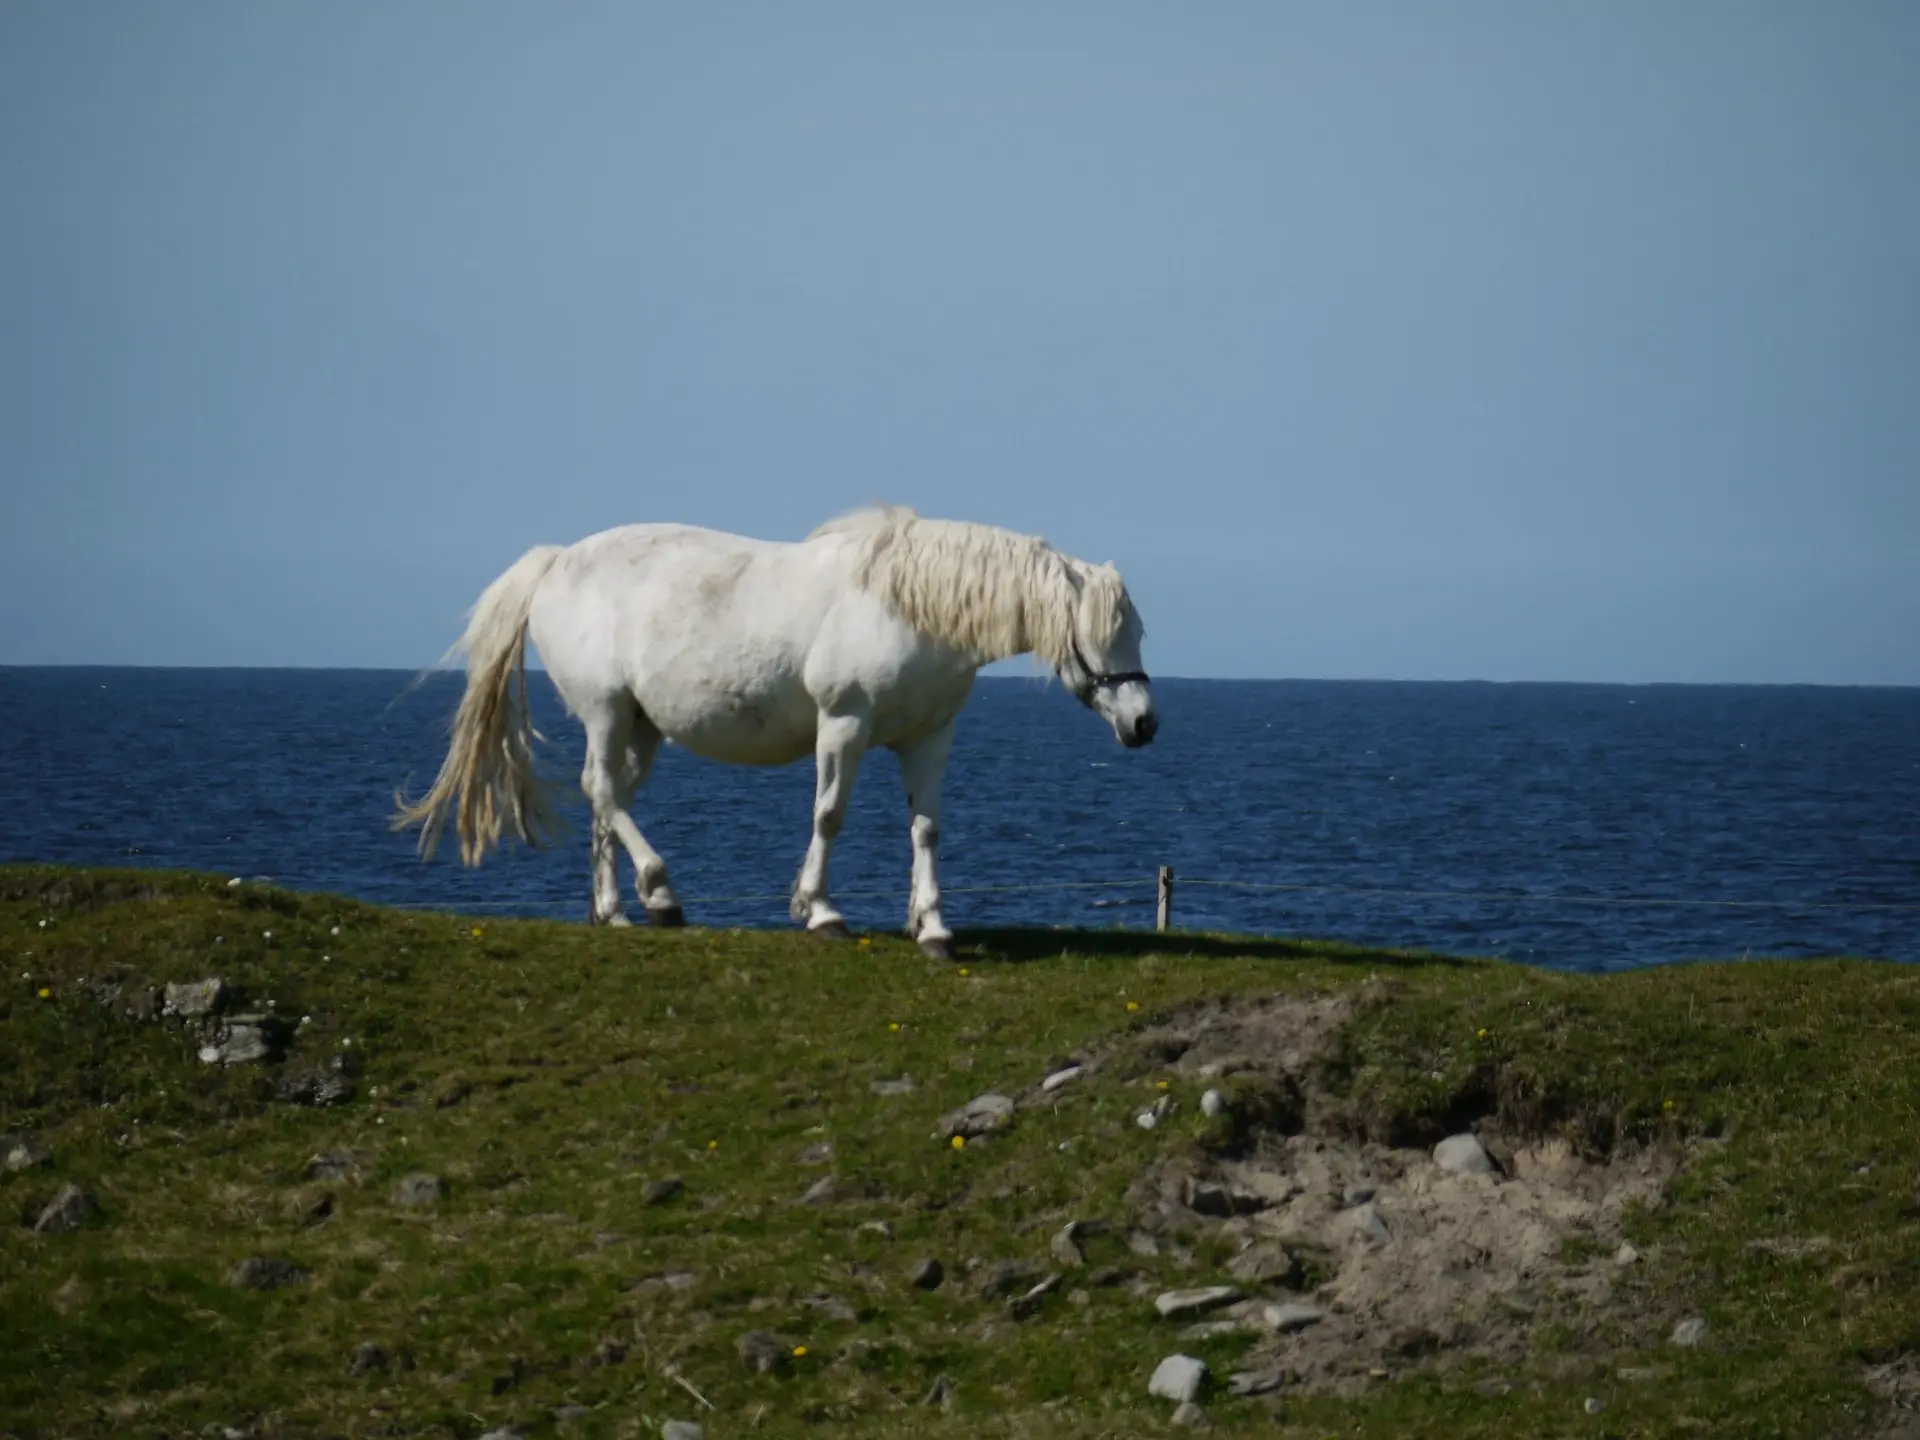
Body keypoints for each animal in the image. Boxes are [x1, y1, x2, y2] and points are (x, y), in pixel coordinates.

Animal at [393, 506, 1152, 960]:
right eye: (1102, 631)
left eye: (1136, 630)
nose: (1144, 721)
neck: (908, 608)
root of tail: (556, 561)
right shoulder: (843, 726)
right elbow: (829, 814)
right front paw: (819, 911)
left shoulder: (929, 739)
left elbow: (926, 829)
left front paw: (932, 927)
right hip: (605, 711)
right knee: (603, 793)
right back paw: (660, 894)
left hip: (641, 725)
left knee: (607, 798)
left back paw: (613, 910)